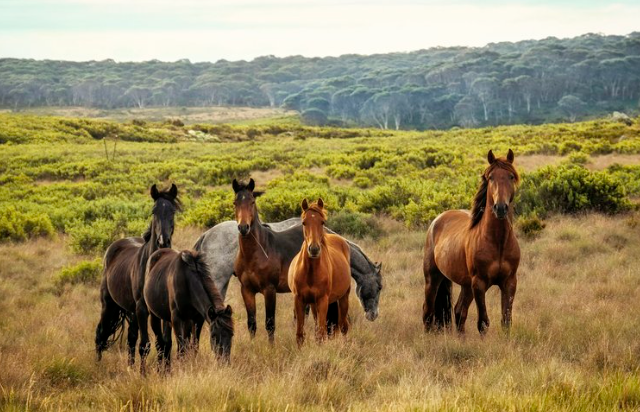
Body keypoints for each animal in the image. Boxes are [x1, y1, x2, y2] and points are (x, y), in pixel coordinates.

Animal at [95, 183, 180, 365]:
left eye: (173, 211)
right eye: (154, 211)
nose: (163, 241)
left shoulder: (162, 310)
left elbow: (165, 344)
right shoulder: (142, 309)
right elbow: (145, 345)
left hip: (131, 311)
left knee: (131, 339)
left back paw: (130, 367)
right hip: (109, 305)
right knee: (100, 334)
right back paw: (97, 365)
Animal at [288, 199, 351, 345]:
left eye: (322, 222)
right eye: (304, 222)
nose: (314, 249)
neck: (310, 272)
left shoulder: (323, 301)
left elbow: (321, 334)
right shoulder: (299, 300)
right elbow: (300, 335)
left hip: (343, 298)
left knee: (344, 326)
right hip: (313, 304)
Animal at [423, 149, 520, 335]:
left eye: (511, 176)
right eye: (490, 177)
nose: (500, 208)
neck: (498, 242)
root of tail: (437, 220)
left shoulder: (509, 283)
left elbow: (506, 321)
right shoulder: (479, 284)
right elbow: (483, 323)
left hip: (465, 285)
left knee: (459, 311)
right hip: (433, 278)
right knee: (428, 312)